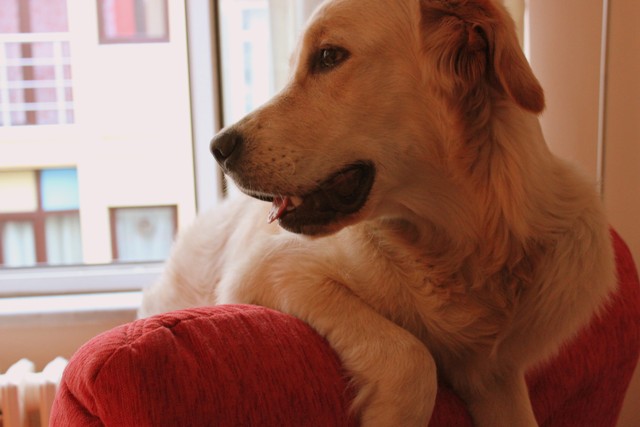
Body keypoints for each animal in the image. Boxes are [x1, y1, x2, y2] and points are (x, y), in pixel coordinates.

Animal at [140, 0, 616, 425]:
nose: (218, 148)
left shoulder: (495, 375)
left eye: (329, 56)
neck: (456, 246)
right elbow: (412, 358)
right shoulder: (271, 268)